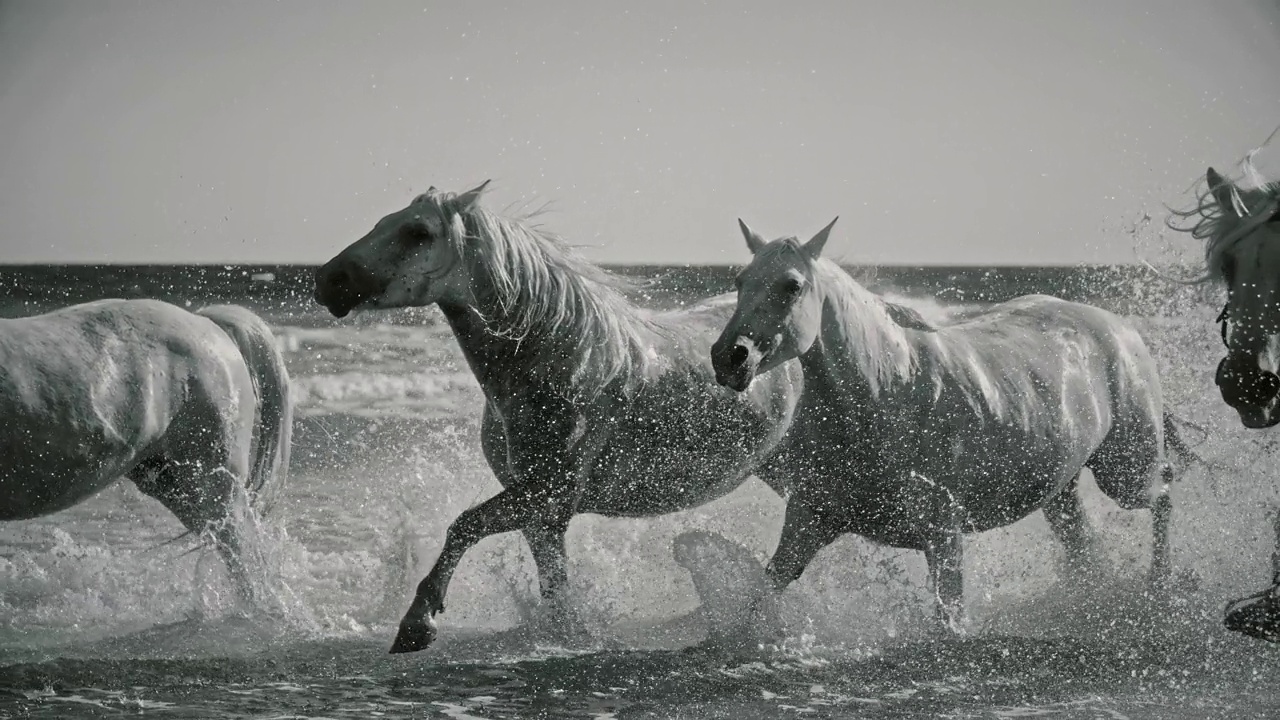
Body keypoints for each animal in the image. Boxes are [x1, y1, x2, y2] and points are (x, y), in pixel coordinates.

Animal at [313, 179, 803, 650]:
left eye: (418, 231)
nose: (328, 280)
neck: (565, 364)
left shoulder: (547, 494)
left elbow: (463, 526)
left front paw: (418, 624)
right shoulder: (541, 512)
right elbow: (552, 583)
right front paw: (565, 634)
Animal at [706, 217, 1182, 627]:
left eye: (791, 285)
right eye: (740, 281)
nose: (729, 357)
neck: (887, 393)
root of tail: (1119, 327)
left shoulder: (943, 533)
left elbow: (948, 621)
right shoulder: (809, 521)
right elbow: (759, 599)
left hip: (1126, 473)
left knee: (1163, 492)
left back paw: (1163, 587)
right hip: (1061, 490)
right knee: (1084, 545)